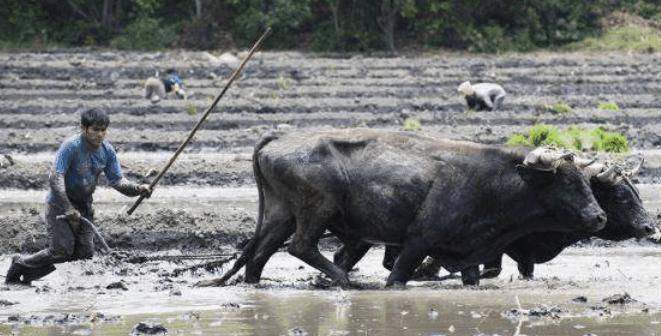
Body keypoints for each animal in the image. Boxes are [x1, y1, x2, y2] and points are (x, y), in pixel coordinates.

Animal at [199, 130, 604, 288]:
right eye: (567, 183)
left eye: (587, 183)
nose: (598, 216)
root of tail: (280, 138)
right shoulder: (417, 242)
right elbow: (397, 276)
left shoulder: (468, 253)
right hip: (317, 210)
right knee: (301, 247)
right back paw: (347, 281)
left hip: (280, 215)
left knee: (259, 255)